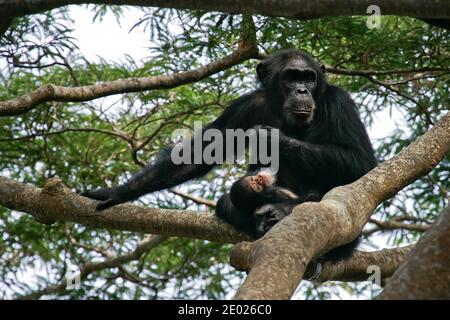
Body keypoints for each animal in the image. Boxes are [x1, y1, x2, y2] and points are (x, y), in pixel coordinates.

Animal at [82, 49, 378, 260]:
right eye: (290, 77)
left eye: (308, 77)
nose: (302, 90)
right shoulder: (245, 107)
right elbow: (200, 153)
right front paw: (118, 192)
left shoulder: (339, 101)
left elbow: (359, 163)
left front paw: (269, 138)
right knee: (227, 201)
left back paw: (284, 213)